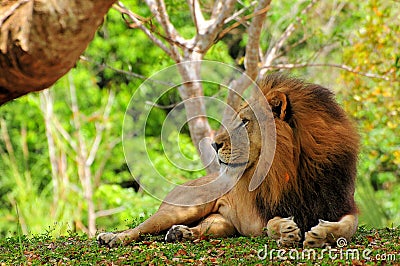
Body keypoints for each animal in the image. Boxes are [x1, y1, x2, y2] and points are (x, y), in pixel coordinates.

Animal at [97, 72, 360, 247]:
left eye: (244, 122)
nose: (214, 144)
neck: (294, 169)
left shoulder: (340, 203)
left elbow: (348, 226)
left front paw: (320, 234)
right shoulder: (260, 216)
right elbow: (271, 223)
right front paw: (285, 231)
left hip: (222, 224)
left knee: (204, 228)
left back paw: (180, 234)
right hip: (183, 207)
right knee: (141, 228)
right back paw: (112, 237)